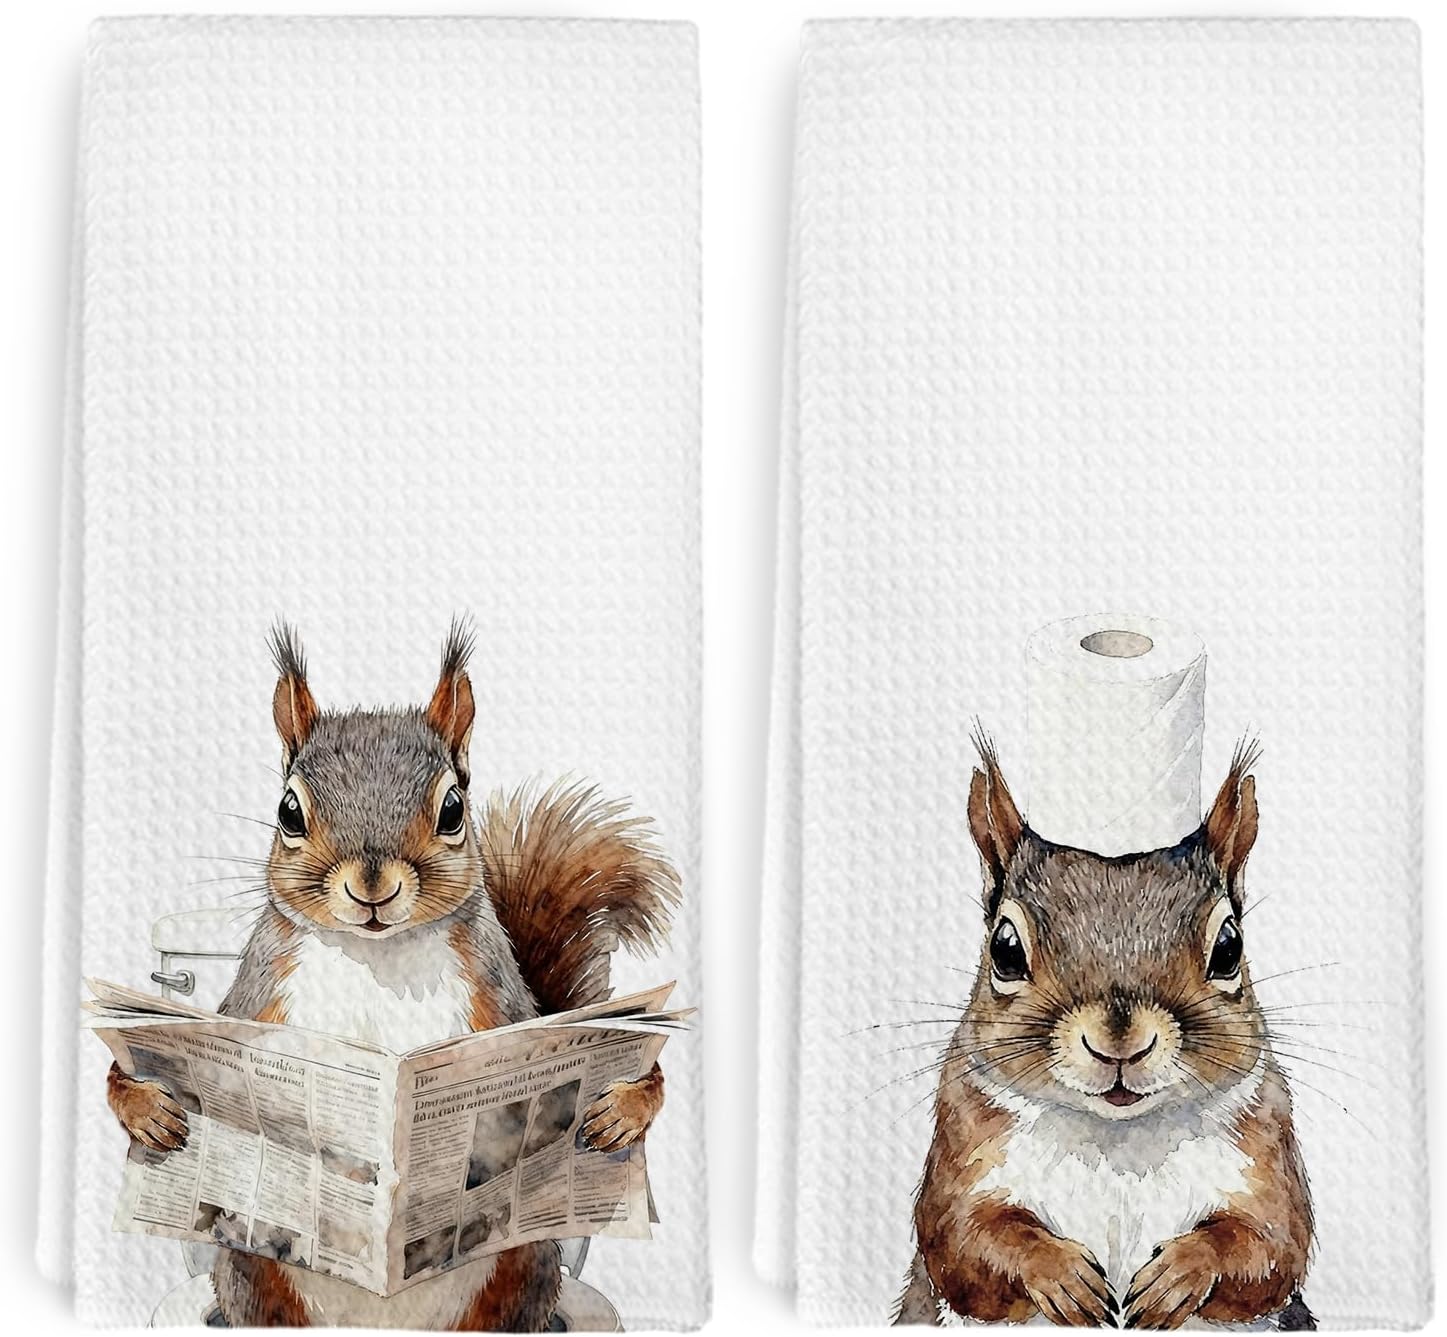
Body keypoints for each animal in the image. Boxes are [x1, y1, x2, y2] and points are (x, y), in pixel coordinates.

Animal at [105, 624, 680, 1329]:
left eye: (453, 809)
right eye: (288, 812)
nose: (371, 885)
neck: (378, 960)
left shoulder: (506, 1010)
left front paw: (625, 1104)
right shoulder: (253, 1005)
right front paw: (146, 1106)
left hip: (522, 1273)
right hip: (252, 1279)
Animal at [894, 740, 1314, 1331]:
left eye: (1229, 947)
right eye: (1004, 948)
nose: (1121, 1043)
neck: (1116, 1142)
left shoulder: (1267, 1152)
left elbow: (1271, 1243)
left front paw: (1180, 1273)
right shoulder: (962, 1149)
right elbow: (963, 1240)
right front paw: (1059, 1272)